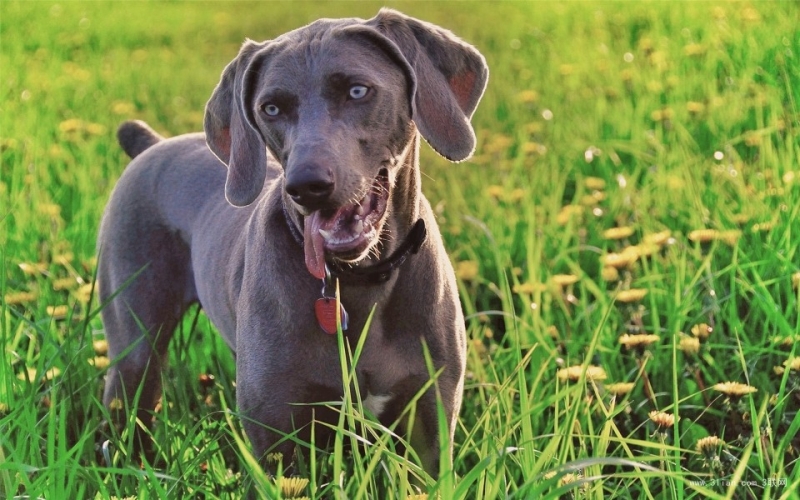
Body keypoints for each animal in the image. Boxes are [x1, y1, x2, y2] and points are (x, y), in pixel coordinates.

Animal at [100, 7, 488, 476]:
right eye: (271, 108)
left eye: (357, 90)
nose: (306, 186)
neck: (358, 282)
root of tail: (151, 146)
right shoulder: (278, 439)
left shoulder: (428, 431)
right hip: (133, 346)